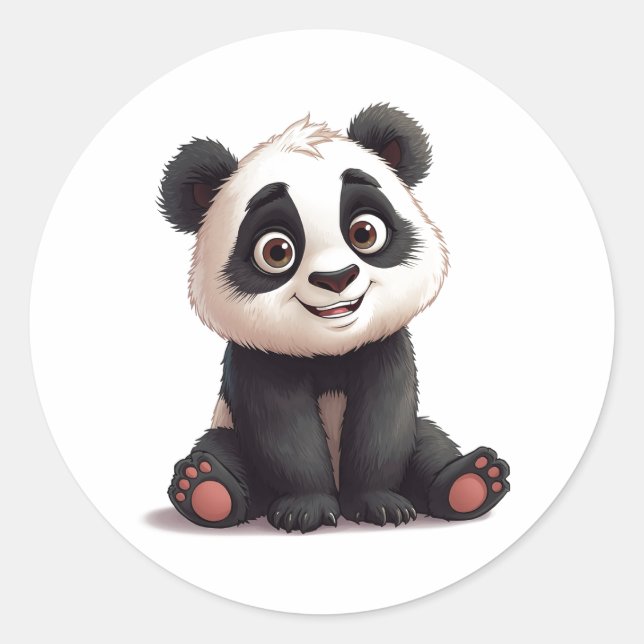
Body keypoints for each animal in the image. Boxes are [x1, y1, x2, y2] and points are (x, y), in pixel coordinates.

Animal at [159, 103, 510, 533]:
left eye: (364, 232)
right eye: (276, 251)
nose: (336, 278)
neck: (330, 349)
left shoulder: (384, 346)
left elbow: (384, 420)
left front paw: (378, 503)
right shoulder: (259, 358)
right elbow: (283, 429)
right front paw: (305, 507)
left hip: (422, 435)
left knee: (429, 441)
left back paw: (472, 482)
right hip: (228, 431)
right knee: (219, 449)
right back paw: (205, 490)